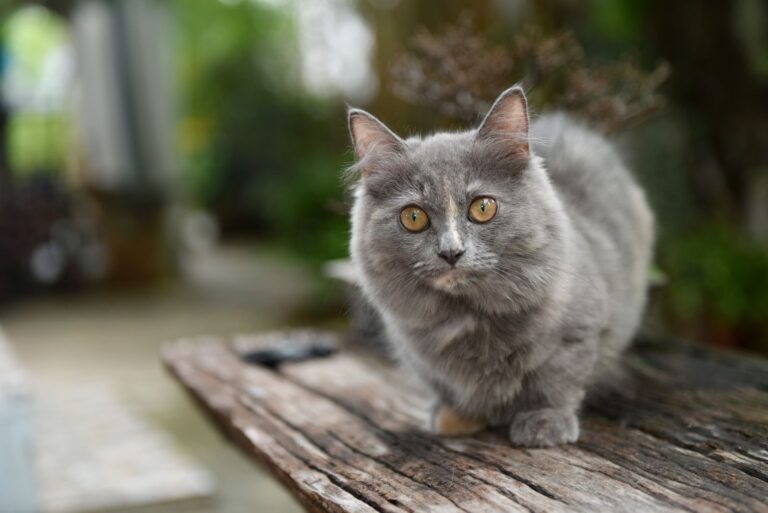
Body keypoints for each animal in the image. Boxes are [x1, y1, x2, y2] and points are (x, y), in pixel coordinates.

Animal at [348, 86, 656, 446]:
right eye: (413, 217)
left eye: (483, 208)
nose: (451, 251)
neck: (469, 317)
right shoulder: (415, 352)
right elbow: (444, 386)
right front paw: (456, 417)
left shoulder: (578, 332)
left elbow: (556, 381)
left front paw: (544, 423)